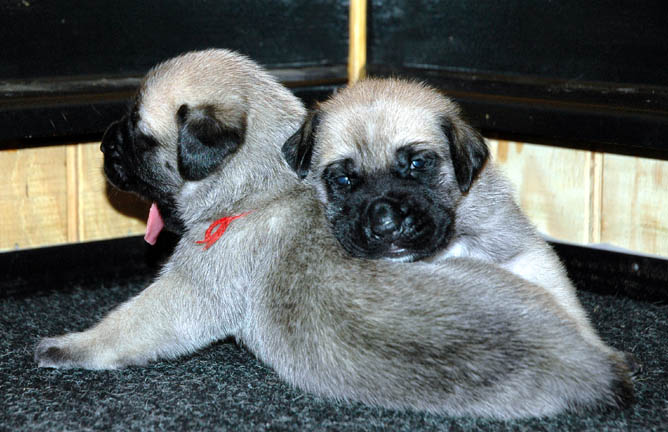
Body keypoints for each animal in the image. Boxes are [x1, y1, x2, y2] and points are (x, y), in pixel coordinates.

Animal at [34, 49, 636, 418]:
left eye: (138, 136)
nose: (101, 144)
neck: (262, 190)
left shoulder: (188, 291)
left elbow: (128, 325)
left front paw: (72, 346)